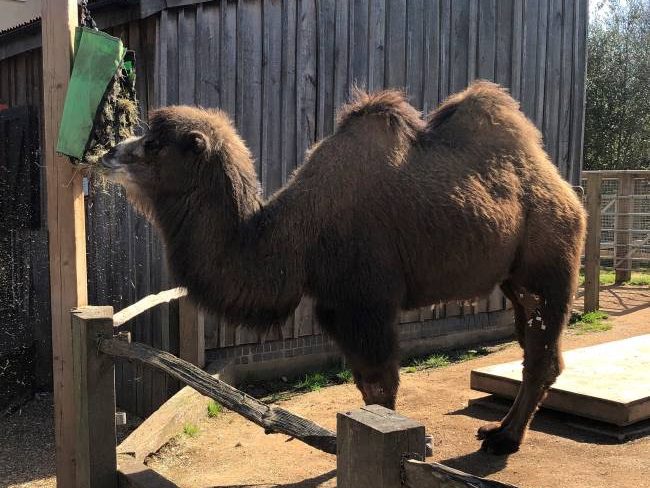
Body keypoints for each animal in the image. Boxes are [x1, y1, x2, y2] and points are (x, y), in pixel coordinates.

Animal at [102, 81, 588, 454]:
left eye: (155, 144)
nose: (107, 153)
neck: (297, 233)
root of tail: (565, 190)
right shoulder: (337, 307)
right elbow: (366, 387)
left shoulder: (366, 302)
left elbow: (381, 388)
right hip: (514, 280)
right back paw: (500, 432)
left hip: (547, 266)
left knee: (541, 355)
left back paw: (505, 440)